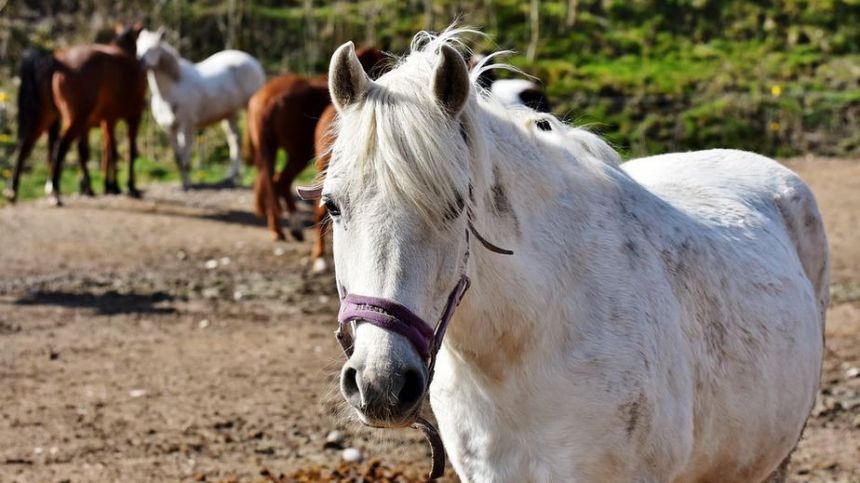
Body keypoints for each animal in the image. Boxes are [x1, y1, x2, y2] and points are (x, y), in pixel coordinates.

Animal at [3, 23, 146, 205]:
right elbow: (128, 151)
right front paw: (128, 186)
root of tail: (57, 60)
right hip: (75, 118)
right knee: (59, 147)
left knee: (23, 146)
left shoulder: (107, 120)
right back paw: (54, 191)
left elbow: (107, 151)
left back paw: (12, 190)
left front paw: (110, 186)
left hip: (45, 115)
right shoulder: (133, 116)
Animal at [134, 27, 262, 191]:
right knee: (235, 140)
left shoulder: (186, 127)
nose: (140, 61)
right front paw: (183, 184)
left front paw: (188, 184)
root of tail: (254, 62)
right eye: (138, 46)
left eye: (154, 47)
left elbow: (185, 157)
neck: (172, 90)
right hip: (229, 114)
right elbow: (178, 158)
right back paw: (231, 176)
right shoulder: (169, 129)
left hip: (249, 108)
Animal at [247, 46, 384, 242]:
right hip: (299, 153)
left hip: (271, 149)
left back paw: (280, 228)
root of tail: (268, 100)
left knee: (271, 180)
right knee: (279, 181)